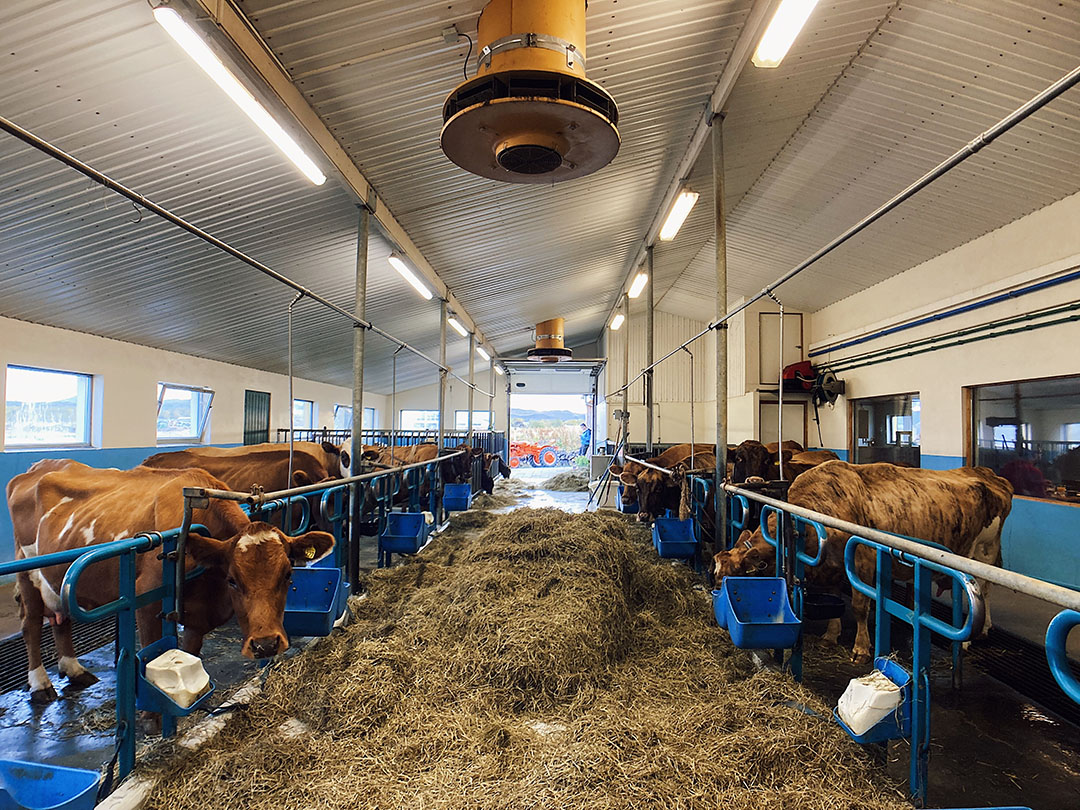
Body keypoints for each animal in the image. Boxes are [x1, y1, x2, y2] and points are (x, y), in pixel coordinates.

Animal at [7, 462, 332, 704]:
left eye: (288, 575)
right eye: (232, 580)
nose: (266, 645)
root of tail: (38, 468)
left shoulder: (198, 616)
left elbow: (190, 653)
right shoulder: (146, 599)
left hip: (56, 578)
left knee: (59, 617)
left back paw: (73, 669)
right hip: (27, 568)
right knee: (31, 623)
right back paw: (40, 683)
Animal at [712, 462, 1015, 665]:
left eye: (733, 576)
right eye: (716, 571)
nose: (715, 598)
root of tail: (989, 475)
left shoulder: (863, 560)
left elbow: (859, 606)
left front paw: (860, 648)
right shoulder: (831, 565)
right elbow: (834, 597)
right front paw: (831, 634)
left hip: (982, 552)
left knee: (984, 588)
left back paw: (974, 636)